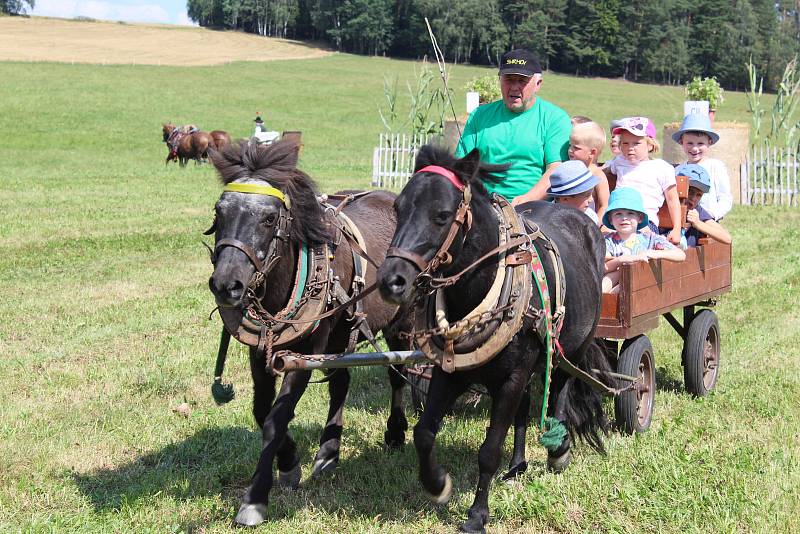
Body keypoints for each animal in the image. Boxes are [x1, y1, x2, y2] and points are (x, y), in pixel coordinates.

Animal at [206, 140, 412, 528]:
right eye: (219, 211)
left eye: (269, 218)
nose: (226, 285)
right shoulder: (262, 350)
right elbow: (262, 411)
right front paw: (289, 463)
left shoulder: (302, 356)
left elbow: (276, 417)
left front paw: (255, 498)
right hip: (341, 333)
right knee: (341, 383)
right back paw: (329, 451)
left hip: (402, 323)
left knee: (398, 375)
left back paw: (395, 432)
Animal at [376, 147, 612, 534]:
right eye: (398, 208)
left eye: (442, 215)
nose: (391, 281)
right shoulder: (450, 371)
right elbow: (424, 433)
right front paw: (437, 484)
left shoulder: (513, 376)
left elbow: (489, 450)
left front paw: (476, 514)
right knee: (526, 408)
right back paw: (517, 466)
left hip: (571, 348)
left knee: (560, 391)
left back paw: (558, 448)